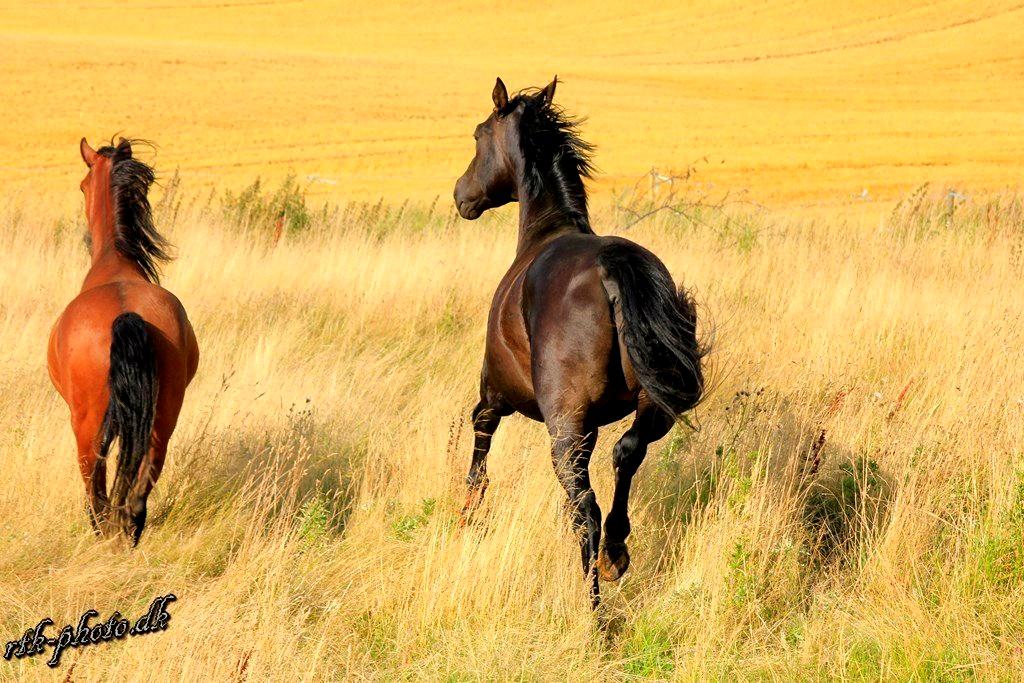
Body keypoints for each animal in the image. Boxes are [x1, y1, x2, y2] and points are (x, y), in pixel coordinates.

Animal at [47, 138, 199, 544]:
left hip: (86, 424)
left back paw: (103, 532)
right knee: (142, 483)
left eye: (82, 185)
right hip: (163, 417)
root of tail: (125, 315)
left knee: (95, 482)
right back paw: (127, 530)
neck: (112, 263)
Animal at [453, 77, 707, 606]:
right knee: (627, 453)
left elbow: (479, 448)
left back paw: (595, 612)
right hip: (651, 406)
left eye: (478, 136)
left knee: (584, 510)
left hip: (566, 429)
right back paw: (617, 553)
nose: (460, 195)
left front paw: (469, 515)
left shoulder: (495, 396)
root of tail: (611, 268)